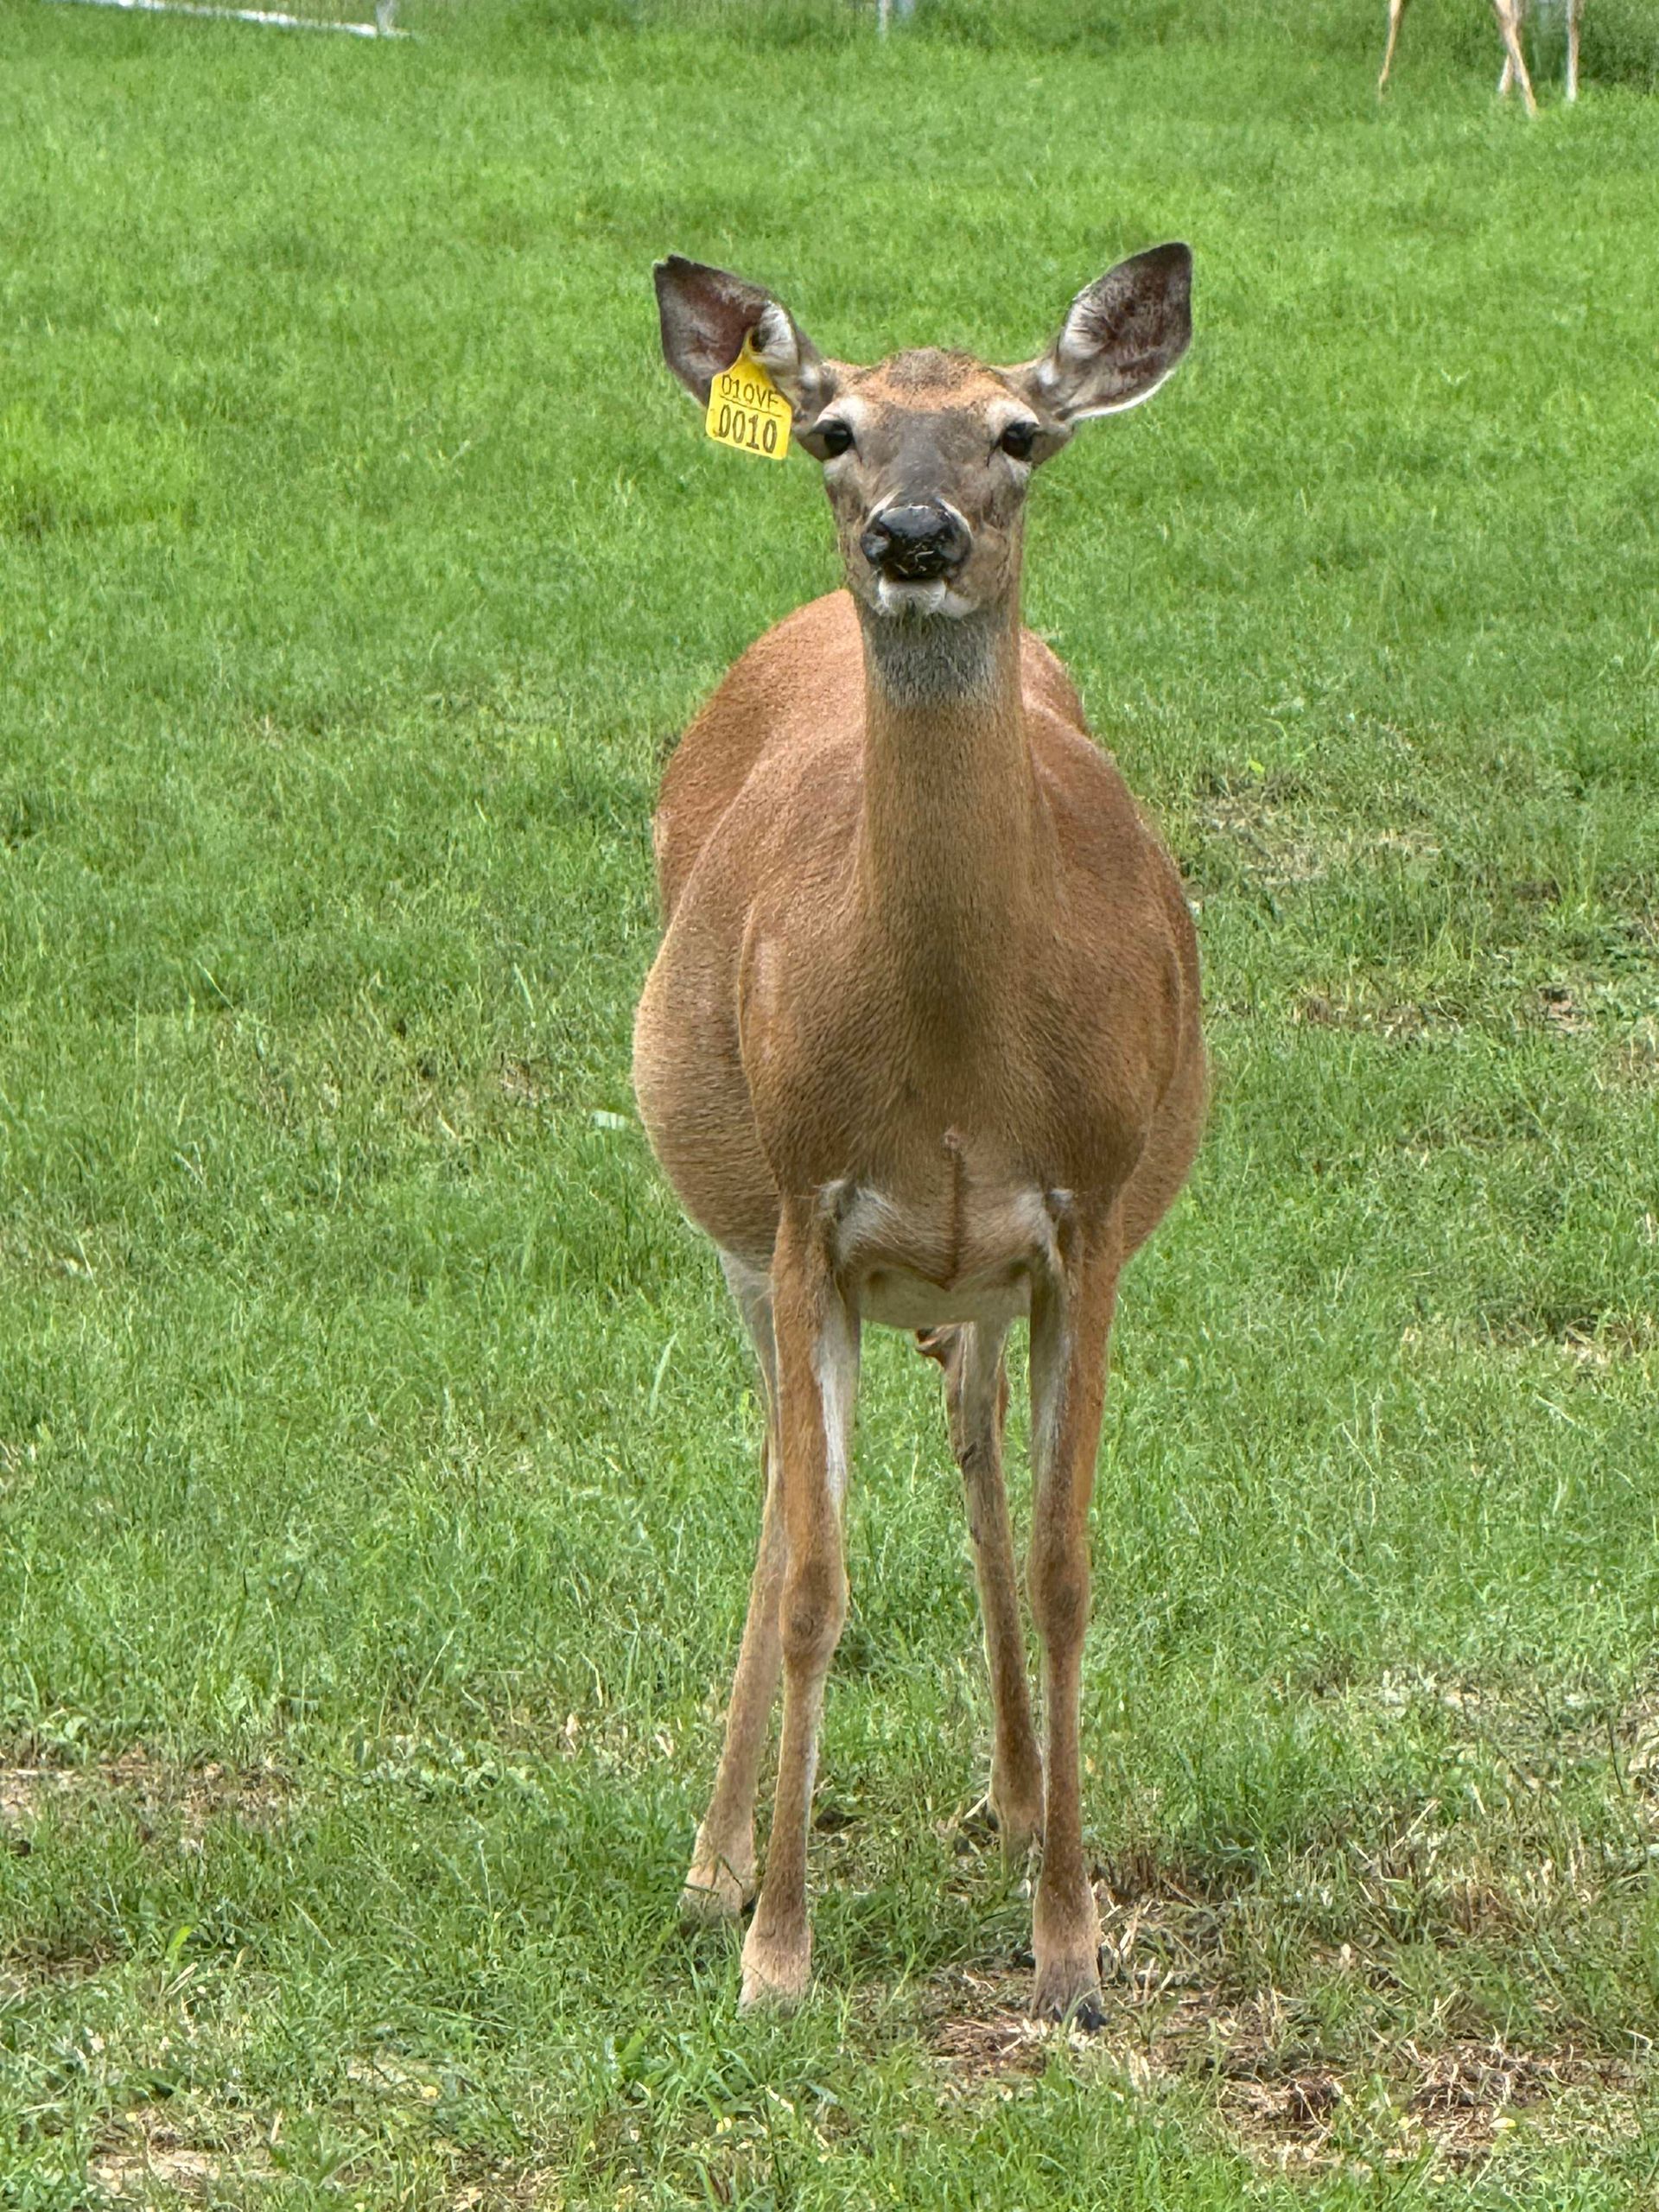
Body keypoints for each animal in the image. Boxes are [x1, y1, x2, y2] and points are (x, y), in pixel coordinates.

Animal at [634, 246, 1204, 2025]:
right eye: (832, 429)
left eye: (1023, 432)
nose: (912, 535)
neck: (956, 1061)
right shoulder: (807, 1203)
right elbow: (819, 1581)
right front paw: (777, 1952)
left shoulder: (1087, 1219)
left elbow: (1069, 1566)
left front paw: (1072, 1948)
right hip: (737, 1226)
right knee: (779, 1498)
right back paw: (710, 1866)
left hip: (970, 1278)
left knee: (966, 1437)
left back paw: (1011, 1796)